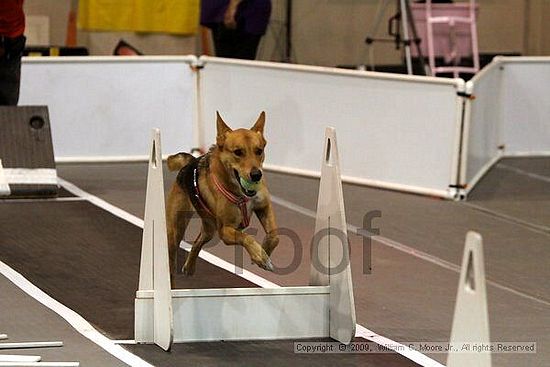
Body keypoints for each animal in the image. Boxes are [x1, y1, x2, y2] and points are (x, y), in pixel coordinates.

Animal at [166, 110, 280, 280]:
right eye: (238, 152)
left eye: (259, 151)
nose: (256, 175)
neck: (241, 194)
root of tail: (189, 164)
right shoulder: (225, 231)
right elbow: (246, 237)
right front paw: (260, 256)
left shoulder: (264, 206)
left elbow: (274, 235)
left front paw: (264, 251)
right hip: (176, 230)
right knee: (171, 261)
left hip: (209, 228)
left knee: (197, 242)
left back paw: (189, 267)